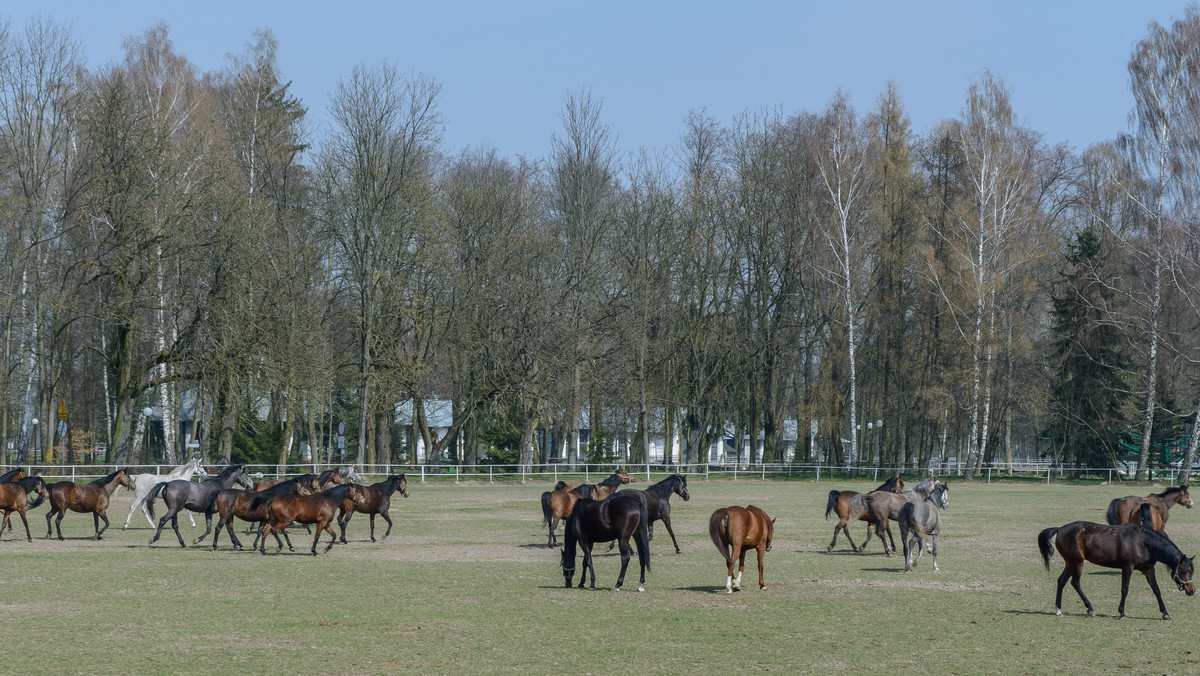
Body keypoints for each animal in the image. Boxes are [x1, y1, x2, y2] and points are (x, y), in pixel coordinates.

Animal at [1036, 518, 1195, 624]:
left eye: (1191, 571)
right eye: (1183, 571)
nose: (1192, 590)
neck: (1143, 542)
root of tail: (1060, 529)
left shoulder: (1148, 569)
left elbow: (1156, 589)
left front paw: (1165, 613)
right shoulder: (1127, 568)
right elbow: (1125, 589)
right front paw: (1122, 613)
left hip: (1071, 563)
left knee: (1061, 581)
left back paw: (1059, 609)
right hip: (1077, 562)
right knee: (1075, 583)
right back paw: (1090, 608)